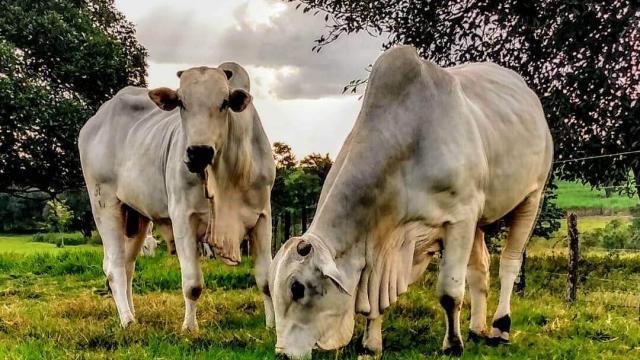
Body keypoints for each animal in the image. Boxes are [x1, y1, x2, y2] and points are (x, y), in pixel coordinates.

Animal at [78, 62, 276, 332]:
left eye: (224, 102)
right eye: (181, 103)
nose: (198, 152)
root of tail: (95, 119)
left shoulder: (262, 217)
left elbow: (266, 280)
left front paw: (272, 327)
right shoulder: (183, 218)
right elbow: (192, 284)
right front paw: (189, 328)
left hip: (136, 217)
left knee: (128, 266)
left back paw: (131, 314)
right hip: (104, 204)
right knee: (114, 268)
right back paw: (127, 321)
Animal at [268, 45, 552, 358]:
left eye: (297, 288)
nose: (281, 352)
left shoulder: (460, 217)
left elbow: (450, 292)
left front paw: (452, 345)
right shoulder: (384, 246)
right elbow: (374, 301)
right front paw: (370, 344)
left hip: (531, 197)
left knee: (509, 265)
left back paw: (501, 328)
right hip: (479, 219)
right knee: (480, 269)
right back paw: (478, 329)